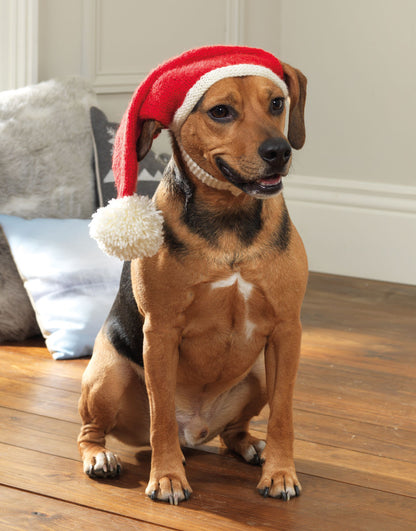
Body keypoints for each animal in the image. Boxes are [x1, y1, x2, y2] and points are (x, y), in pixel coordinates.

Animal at [78, 48, 308, 508]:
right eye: (221, 111)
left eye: (277, 102)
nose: (279, 151)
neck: (229, 219)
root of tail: (197, 432)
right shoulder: (161, 333)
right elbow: (162, 415)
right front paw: (167, 477)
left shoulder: (286, 331)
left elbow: (283, 415)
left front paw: (280, 473)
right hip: (109, 376)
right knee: (93, 431)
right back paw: (100, 456)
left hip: (258, 371)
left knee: (233, 432)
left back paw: (250, 445)